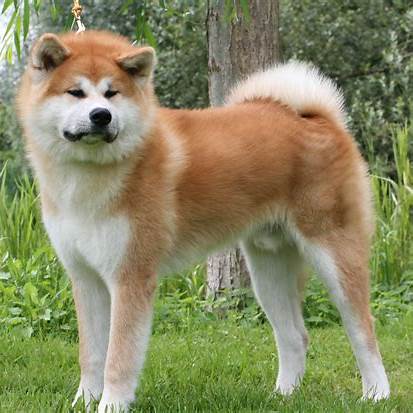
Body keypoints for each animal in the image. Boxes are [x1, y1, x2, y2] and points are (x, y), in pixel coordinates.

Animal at [16, 32, 390, 412]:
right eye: (75, 92)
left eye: (112, 93)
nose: (101, 116)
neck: (89, 176)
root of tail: (316, 117)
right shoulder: (86, 278)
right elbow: (91, 355)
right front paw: (83, 402)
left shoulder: (130, 277)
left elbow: (118, 358)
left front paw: (111, 405)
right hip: (267, 271)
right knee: (295, 336)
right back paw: (283, 395)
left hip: (334, 255)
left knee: (363, 331)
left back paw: (376, 393)